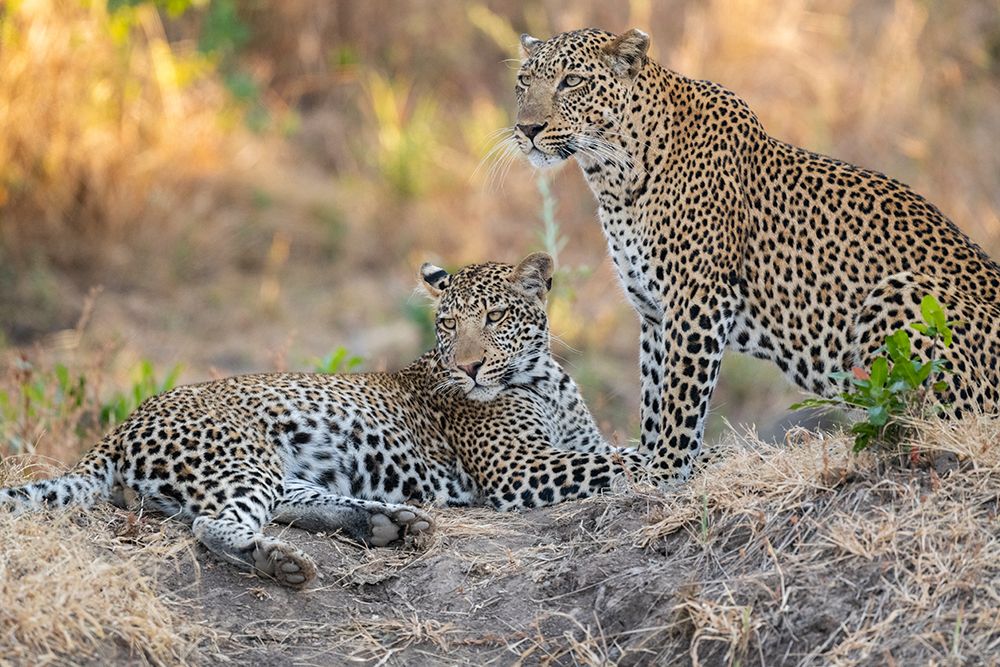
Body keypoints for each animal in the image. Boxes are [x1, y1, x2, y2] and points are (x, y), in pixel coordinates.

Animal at [1, 253, 648, 588]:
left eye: (495, 317)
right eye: (447, 323)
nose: (467, 366)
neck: (543, 377)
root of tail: (114, 434)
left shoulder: (559, 448)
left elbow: (609, 451)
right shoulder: (521, 469)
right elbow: (622, 459)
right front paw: (670, 456)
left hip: (273, 468)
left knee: (289, 504)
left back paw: (392, 523)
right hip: (239, 458)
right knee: (213, 525)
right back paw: (281, 561)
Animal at [512, 28, 1000, 478]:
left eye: (572, 81)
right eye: (523, 82)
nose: (527, 130)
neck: (613, 174)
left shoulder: (699, 298)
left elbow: (680, 395)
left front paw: (666, 468)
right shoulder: (654, 312)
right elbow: (654, 391)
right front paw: (651, 460)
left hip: (903, 292)